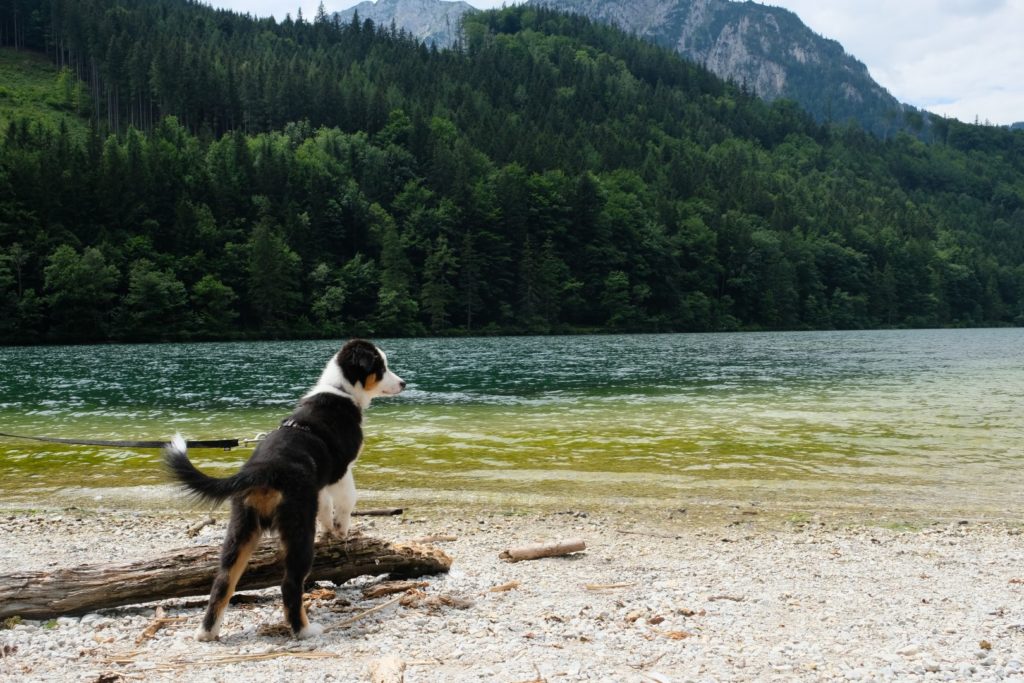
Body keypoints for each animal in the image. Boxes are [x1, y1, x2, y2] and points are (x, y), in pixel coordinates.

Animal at [163, 339, 403, 643]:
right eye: (381, 368)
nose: (404, 383)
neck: (341, 391)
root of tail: (263, 470)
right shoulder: (342, 470)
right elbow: (347, 501)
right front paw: (341, 530)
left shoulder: (319, 484)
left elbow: (325, 507)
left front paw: (329, 530)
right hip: (297, 527)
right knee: (290, 584)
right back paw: (305, 630)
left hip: (241, 527)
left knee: (222, 581)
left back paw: (206, 632)